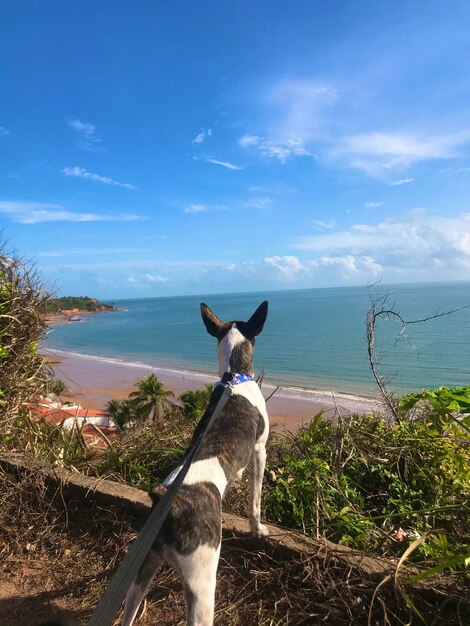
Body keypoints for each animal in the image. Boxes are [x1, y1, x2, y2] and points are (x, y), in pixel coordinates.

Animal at [119, 300, 270, 620]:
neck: (234, 377)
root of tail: (169, 504)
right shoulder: (259, 449)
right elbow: (256, 498)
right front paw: (257, 529)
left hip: (143, 567)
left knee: (129, 608)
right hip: (202, 579)